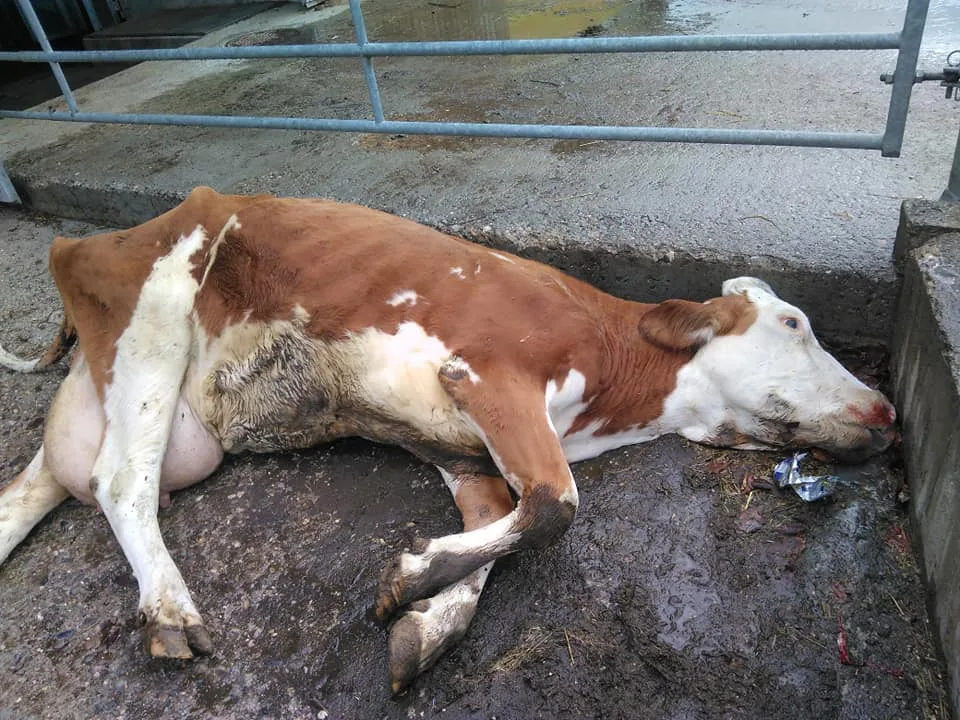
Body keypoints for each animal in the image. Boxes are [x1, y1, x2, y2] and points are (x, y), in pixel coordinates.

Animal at [0, 187, 897, 693]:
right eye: (794, 323)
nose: (888, 410)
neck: (614, 394)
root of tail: (94, 236)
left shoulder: (461, 447)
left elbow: (500, 526)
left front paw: (429, 621)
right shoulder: (488, 376)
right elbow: (558, 506)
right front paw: (411, 580)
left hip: (135, 413)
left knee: (37, 486)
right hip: (155, 311)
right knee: (120, 478)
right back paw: (170, 609)